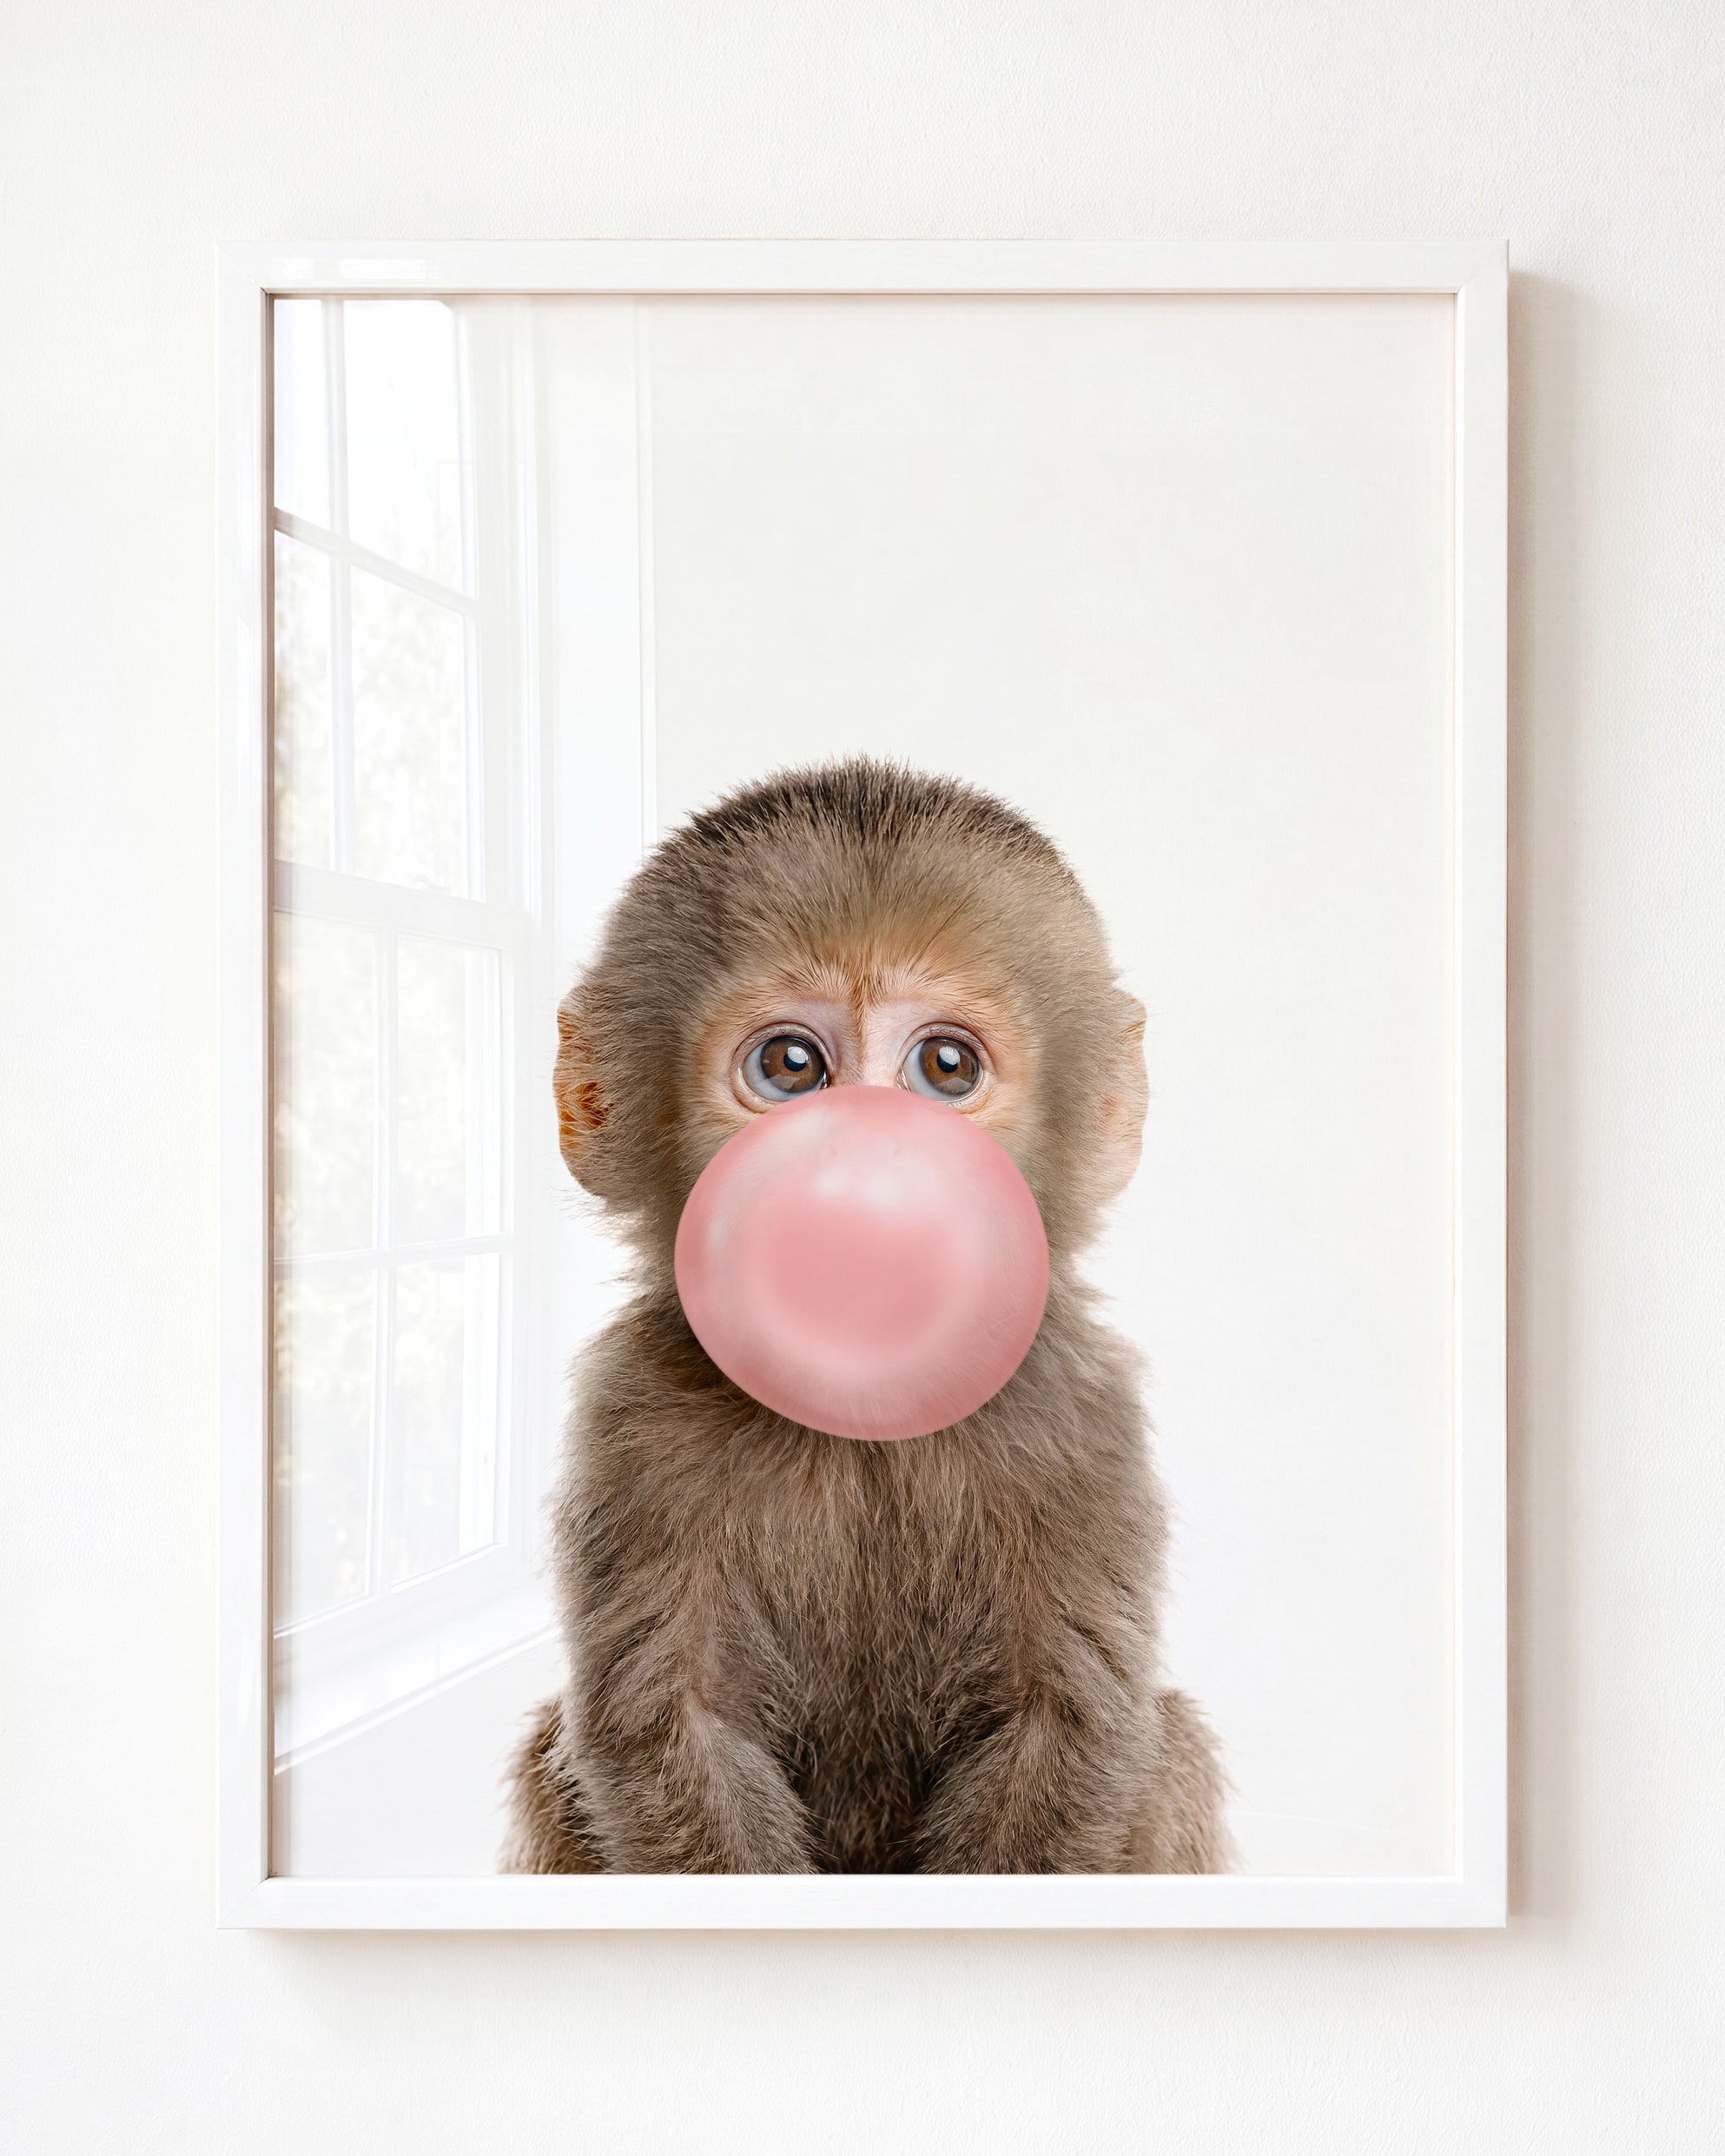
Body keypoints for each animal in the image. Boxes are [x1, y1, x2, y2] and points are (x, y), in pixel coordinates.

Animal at [501, 759, 1231, 1875]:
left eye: (945, 1069)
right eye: (791, 1067)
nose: (865, 1167)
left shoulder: (1080, 1413)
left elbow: (1066, 1726)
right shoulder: (635, 1416)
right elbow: (672, 1727)